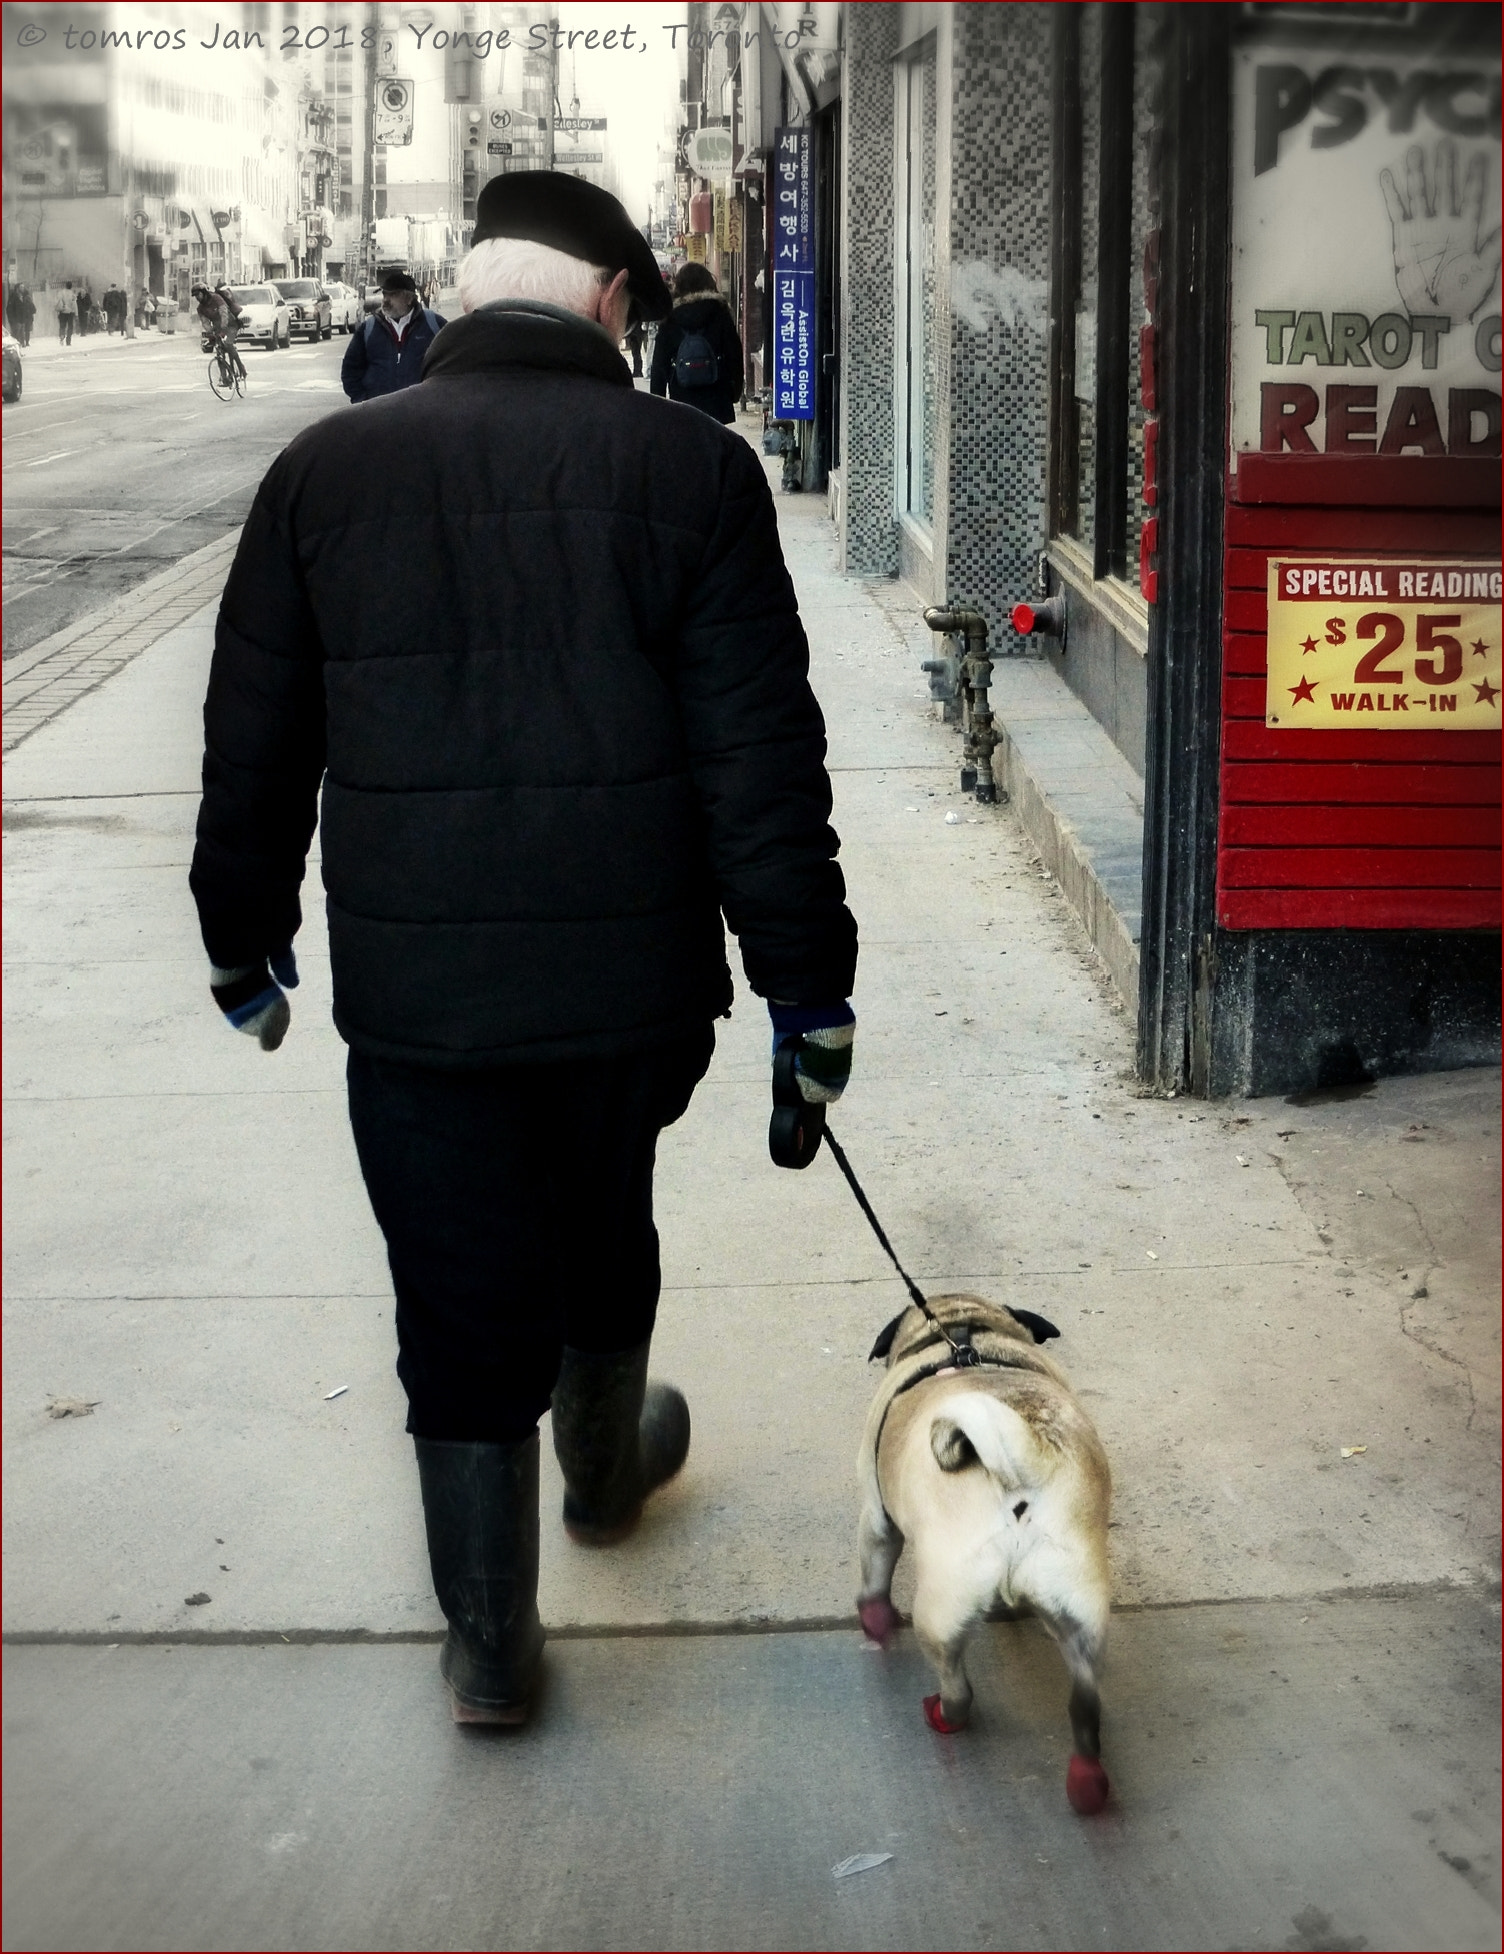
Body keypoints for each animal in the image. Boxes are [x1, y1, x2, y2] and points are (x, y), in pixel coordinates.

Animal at [851, 1297, 1109, 1813]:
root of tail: (1025, 1465)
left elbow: (874, 1583)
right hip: (1078, 1604)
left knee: (959, 1689)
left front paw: (876, 1620)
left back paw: (943, 1716)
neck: (962, 1329)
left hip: (941, 1612)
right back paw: (1087, 1782)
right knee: (1085, 1707)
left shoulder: (876, 1519)